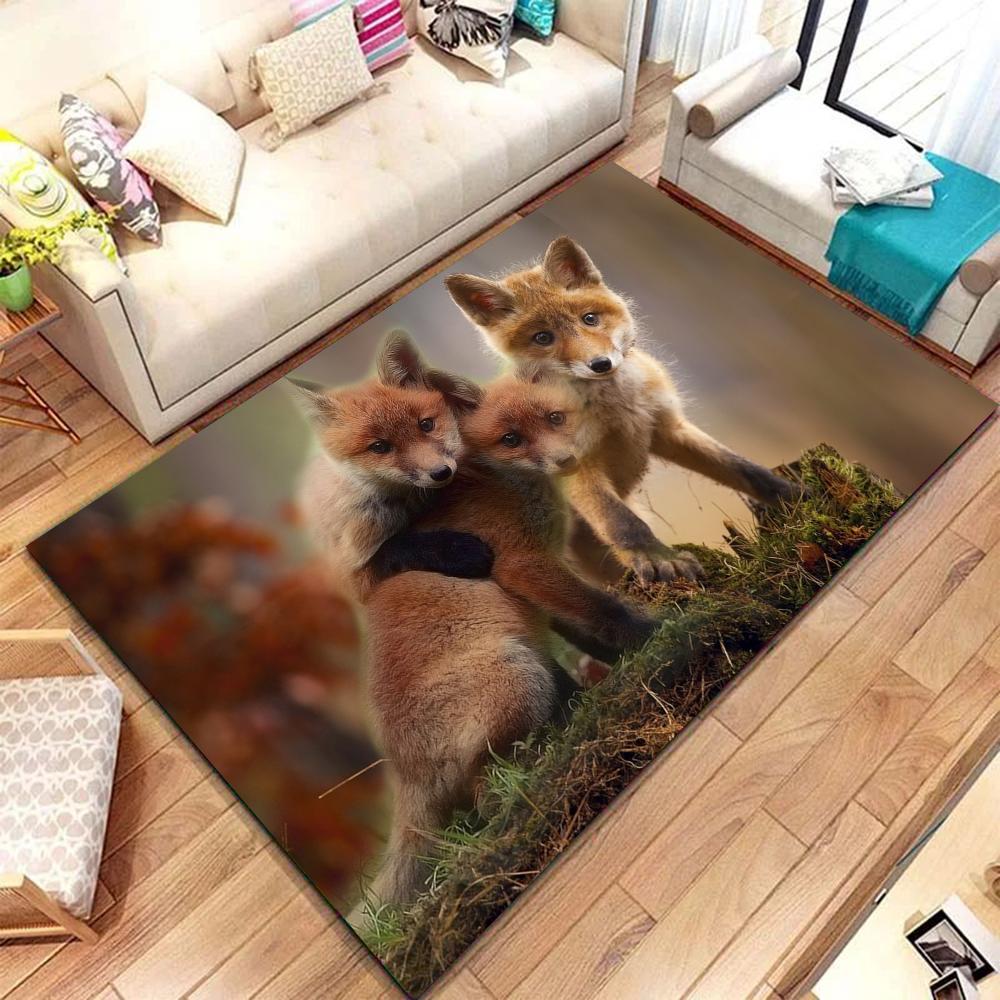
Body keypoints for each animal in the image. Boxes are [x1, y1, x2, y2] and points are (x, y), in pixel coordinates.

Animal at [359, 368, 657, 913]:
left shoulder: (540, 593)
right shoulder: (523, 565)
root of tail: (404, 772)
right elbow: (606, 611)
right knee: (490, 798)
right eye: (511, 439)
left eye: (555, 418)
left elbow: (592, 630)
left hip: (530, 665)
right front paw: (660, 630)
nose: (567, 461)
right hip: (517, 673)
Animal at [445, 236, 800, 583]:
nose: (600, 364)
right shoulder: (574, 465)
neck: (617, 408)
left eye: (589, 318)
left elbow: (743, 469)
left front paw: (793, 496)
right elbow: (621, 521)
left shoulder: (666, 429)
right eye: (543, 337)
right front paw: (660, 559)